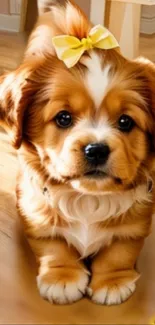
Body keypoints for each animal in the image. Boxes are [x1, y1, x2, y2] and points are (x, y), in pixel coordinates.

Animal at [0, 0, 155, 304]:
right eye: (63, 118)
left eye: (125, 122)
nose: (96, 149)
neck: (86, 199)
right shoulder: (36, 216)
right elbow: (53, 248)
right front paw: (62, 278)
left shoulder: (136, 224)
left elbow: (119, 252)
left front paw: (112, 282)